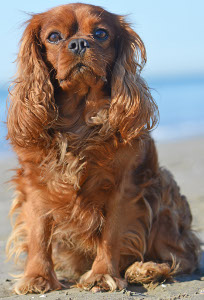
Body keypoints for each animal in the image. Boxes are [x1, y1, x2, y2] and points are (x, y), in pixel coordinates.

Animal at [5, 1, 199, 292]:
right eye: (54, 37)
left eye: (100, 34)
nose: (79, 43)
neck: (78, 120)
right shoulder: (34, 184)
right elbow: (38, 234)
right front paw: (37, 277)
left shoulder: (124, 187)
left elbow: (112, 234)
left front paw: (102, 274)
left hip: (161, 184)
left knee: (183, 256)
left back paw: (147, 269)